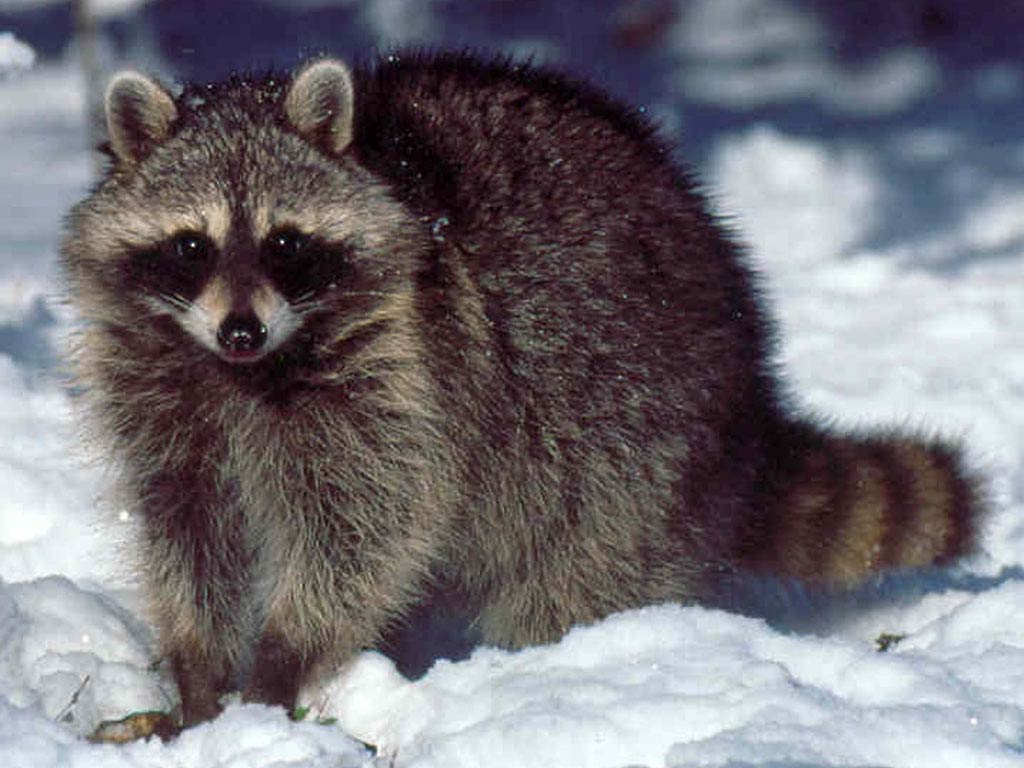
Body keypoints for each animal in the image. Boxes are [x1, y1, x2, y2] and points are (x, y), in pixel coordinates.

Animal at [61, 53, 983, 727]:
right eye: (192, 246)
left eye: (286, 243)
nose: (242, 330)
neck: (245, 373)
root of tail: (748, 397)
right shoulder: (160, 389)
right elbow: (185, 522)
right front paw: (195, 669)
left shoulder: (408, 369)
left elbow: (368, 522)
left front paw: (282, 658)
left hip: (633, 450)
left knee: (575, 577)